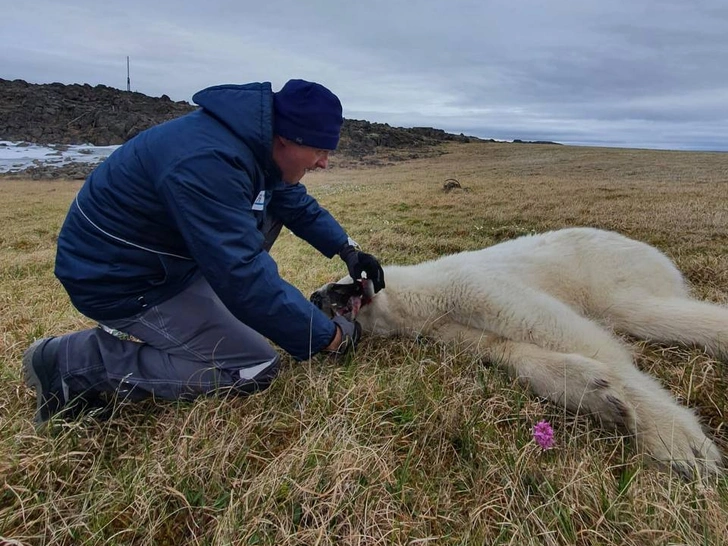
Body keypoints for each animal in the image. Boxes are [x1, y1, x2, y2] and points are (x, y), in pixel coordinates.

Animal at [310, 225, 724, 476]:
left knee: (641, 310)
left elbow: (552, 326)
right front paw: (599, 395)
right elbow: (506, 349)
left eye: (338, 282)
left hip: (611, 271)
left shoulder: (469, 286)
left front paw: (677, 440)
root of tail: (658, 256)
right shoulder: (448, 327)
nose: (316, 296)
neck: (421, 296)